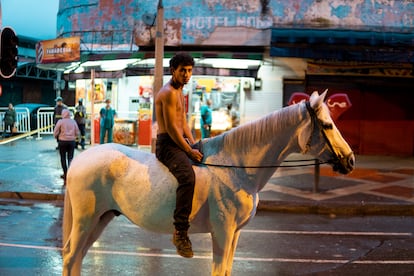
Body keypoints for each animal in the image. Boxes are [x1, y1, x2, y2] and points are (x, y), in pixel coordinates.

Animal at [63, 90, 354, 274]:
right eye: (327, 125)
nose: (350, 160)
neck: (237, 166)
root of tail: (80, 159)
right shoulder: (223, 232)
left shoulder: (234, 234)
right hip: (86, 220)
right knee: (69, 257)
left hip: (100, 219)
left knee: (77, 258)